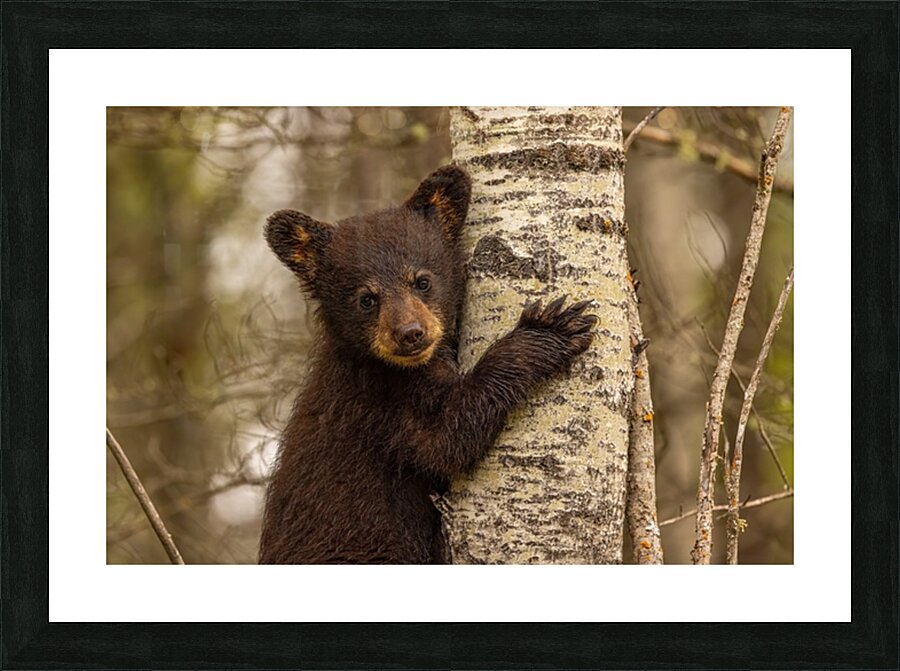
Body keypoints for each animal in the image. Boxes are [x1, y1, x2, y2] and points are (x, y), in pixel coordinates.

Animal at [258, 165, 597, 564]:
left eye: (421, 280)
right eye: (366, 298)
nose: (410, 333)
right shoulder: (380, 404)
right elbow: (448, 436)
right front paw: (550, 329)